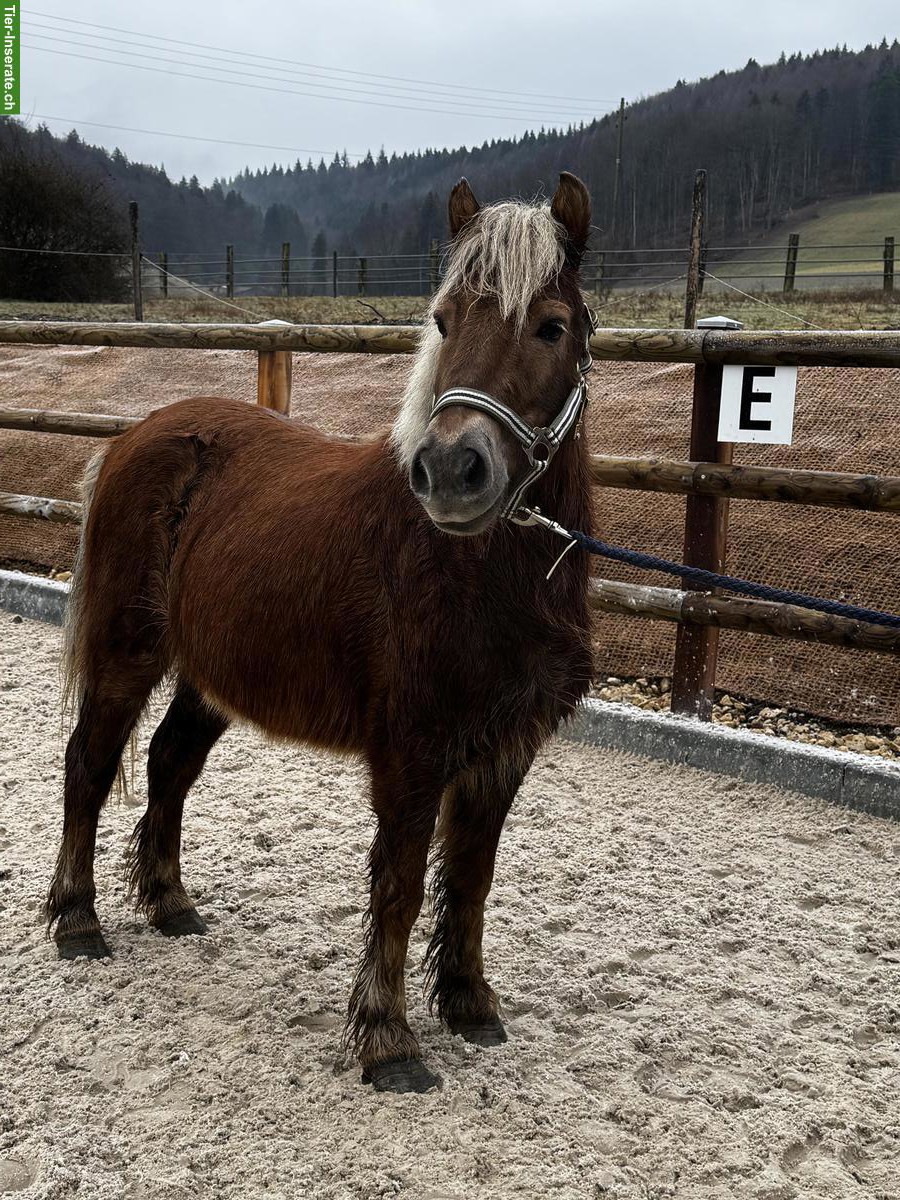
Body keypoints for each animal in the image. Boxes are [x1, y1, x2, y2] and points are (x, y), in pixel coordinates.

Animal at [45, 171, 596, 1094]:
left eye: (552, 326)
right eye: (443, 321)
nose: (451, 471)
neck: (479, 571)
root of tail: (134, 436)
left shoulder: (503, 753)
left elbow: (472, 878)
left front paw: (470, 1005)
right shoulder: (411, 754)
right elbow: (399, 886)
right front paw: (388, 1040)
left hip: (211, 675)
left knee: (168, 763)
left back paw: (170, 904)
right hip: (128, 655)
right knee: (90, 762)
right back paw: (78, 921)